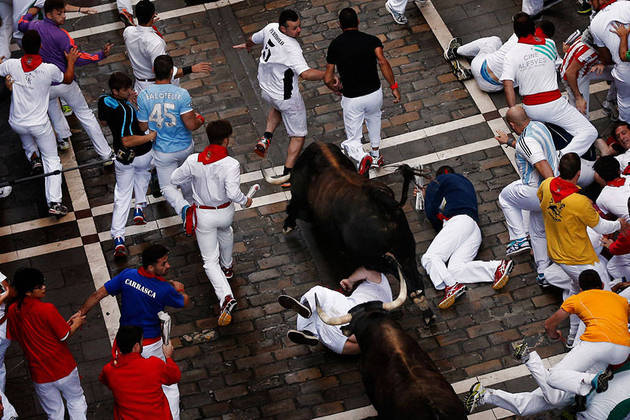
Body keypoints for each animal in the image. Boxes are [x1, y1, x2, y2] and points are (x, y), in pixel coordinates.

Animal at [264, 142, 436, 324]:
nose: (288, 225)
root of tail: (384, 203)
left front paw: (288, 224)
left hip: (377, 259)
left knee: (402, 277)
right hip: (406, 251)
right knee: (415, 282)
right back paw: (427, 313)